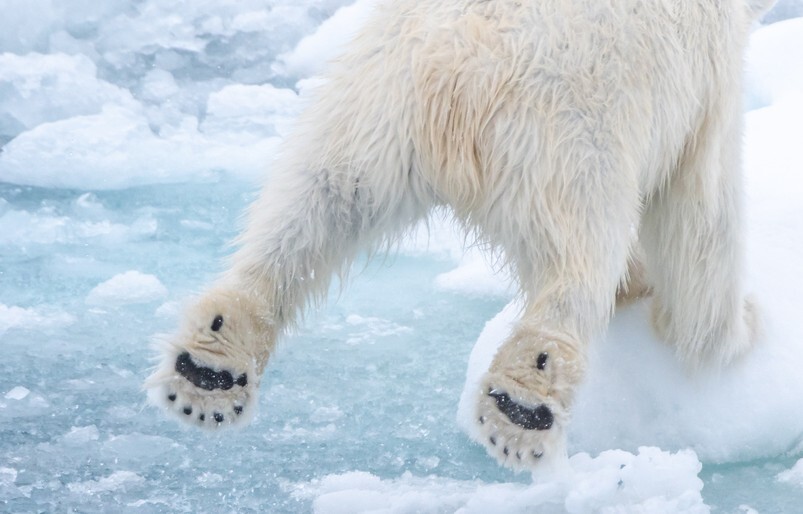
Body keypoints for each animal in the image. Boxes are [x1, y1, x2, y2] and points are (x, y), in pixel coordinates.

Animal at [148, 0, 776, 470]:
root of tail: (459, 65)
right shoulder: (707, 78)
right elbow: (701, 215)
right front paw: (734, 330)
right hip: (568, 135)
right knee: (577, 260)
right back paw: (523, 405)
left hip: (368, 108)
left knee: (308, 212)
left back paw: (210, 366)